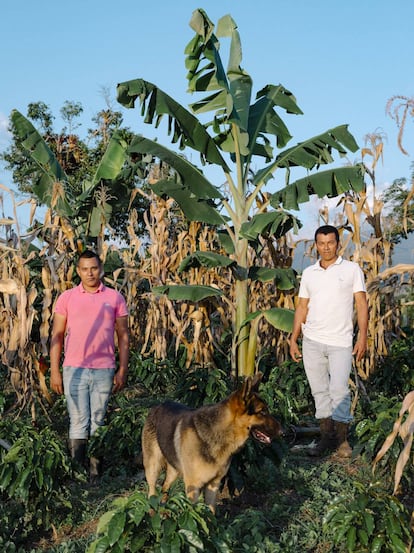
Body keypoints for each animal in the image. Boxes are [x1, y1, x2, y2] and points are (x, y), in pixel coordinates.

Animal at [142, 374, 282, 512]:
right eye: (262, 412)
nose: (283, 432)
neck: (220, 431)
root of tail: (158, 405)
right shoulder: (193, 488)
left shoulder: (213, 485)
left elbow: (210, 514)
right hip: (153, 468)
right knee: (152, 494)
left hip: (173, 470)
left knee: (164, 488)